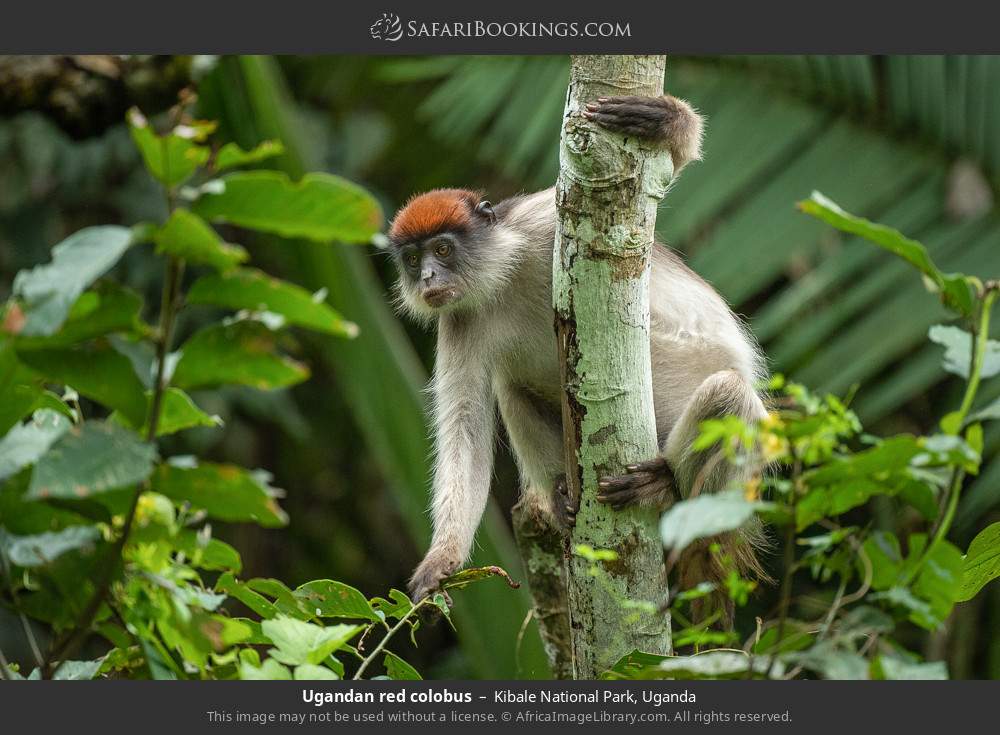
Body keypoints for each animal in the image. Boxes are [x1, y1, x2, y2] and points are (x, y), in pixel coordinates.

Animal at [388, 93, 764, 608]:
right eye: (412, 259)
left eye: (442, 250)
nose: (427, 277)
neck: (500, 281)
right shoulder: (458, 321)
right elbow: (464, 427)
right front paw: (441, 560)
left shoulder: (543, 223)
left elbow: (654, 184)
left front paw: (667, 122)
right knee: (511, 387)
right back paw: (564, 498)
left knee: (728, 391)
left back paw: (666, 488)